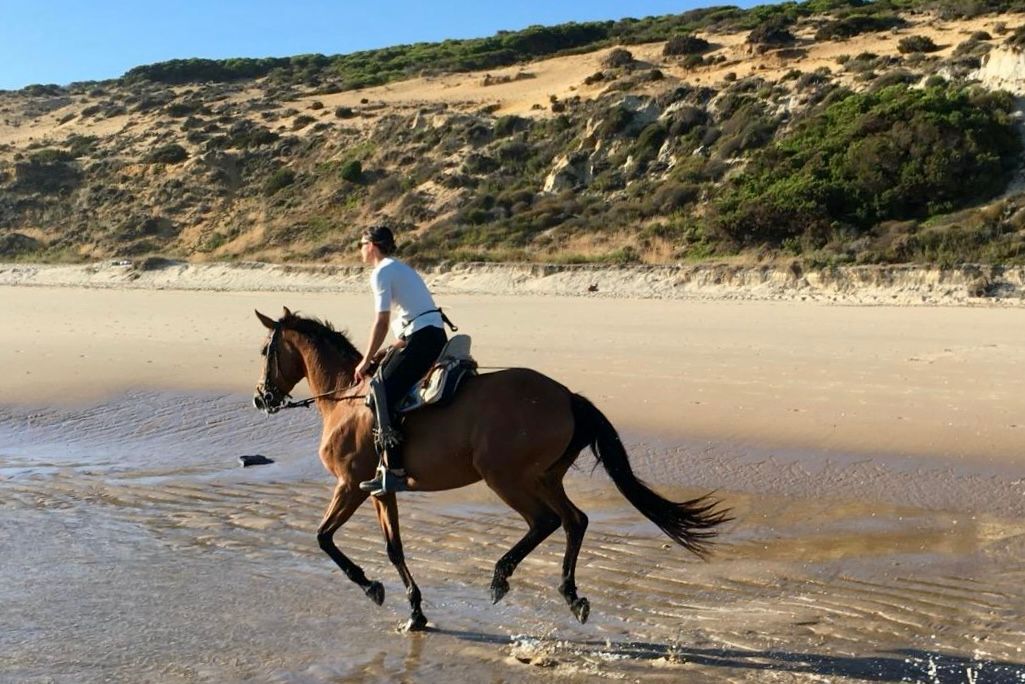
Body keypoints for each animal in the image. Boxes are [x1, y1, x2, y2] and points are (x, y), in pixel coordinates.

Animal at [253, 308, 730, 631]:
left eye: (265, 350)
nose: (262, 397)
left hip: (505, 476)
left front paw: (372, 588)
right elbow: (394, 549)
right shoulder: (380, 490)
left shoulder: (351, 485)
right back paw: (571, 595)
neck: (345, 397)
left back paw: (502, 577)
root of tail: (567, 396)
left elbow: (324, 538)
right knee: (575, 520)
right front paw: (415, 610)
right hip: (544, 477)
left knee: (546, 521)